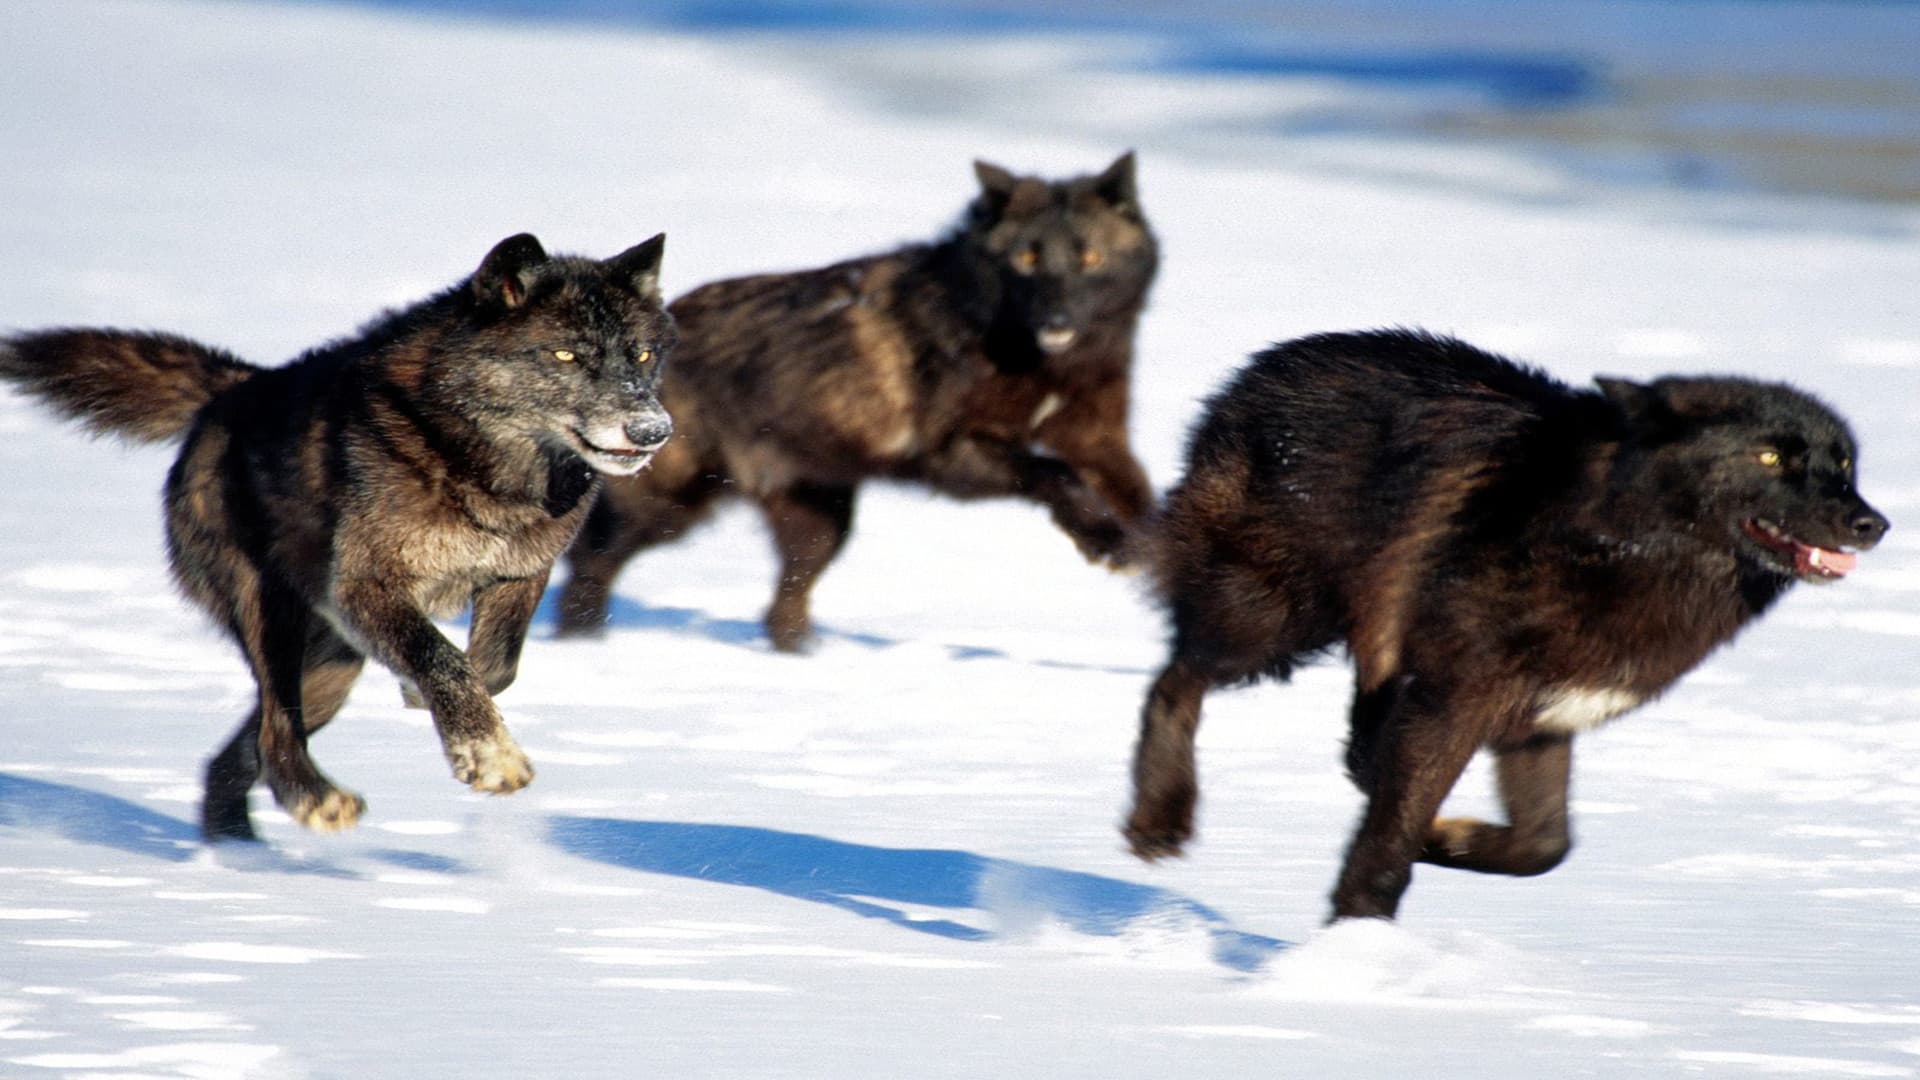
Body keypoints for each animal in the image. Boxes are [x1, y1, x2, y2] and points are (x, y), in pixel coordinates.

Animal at [0, 233, 676, 840]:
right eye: (566, 356)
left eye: (642, 356)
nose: (653, 430)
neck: (481, 466)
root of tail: (235, 388)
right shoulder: (365, 587)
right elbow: (446, 660)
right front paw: (489, 756)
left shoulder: (518, 575)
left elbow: (491, 666)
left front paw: (435, 709)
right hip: (272, 617)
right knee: (275, 730)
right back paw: (313, 802)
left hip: (332, 668)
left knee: (239, 752)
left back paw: (237, 854)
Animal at [556, 153, 1158, 651]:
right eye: (1027, 258)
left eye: (1090, 258)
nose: (1057, 322)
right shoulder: (952, 455)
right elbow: (1053, 474)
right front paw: (1106, 543)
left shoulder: (1100, 440)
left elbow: (1141, 498)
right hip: (669, 506)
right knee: (590, 561)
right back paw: (582, 644)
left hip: (822, 523)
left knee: (784, 607)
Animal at [1123, 329, 1889, 921]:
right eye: (1770, 457)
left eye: (1844, 463)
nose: (1872, 523)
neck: (1614, 537)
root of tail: (1256, 369)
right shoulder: (1455, 702)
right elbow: (1392, 842)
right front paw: (1358, 939)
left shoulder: (1541, 720)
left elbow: (1542, 848)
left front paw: (1449, 839)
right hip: (1271, 624)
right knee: (1174, 682)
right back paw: (1160, 818)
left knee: (1353, 748)